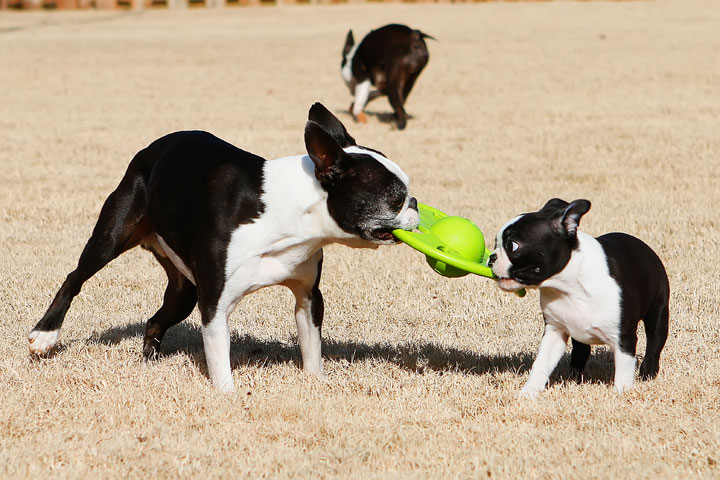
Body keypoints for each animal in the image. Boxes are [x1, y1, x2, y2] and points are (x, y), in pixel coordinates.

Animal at [29, 103, 422, 392]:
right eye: (393, 198)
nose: (416, 203)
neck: (289, 211)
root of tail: (152, 148)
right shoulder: (215, 305)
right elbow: (220, 357)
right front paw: (227, 396)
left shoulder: (308, 295)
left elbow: (311, 345)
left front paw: (316, 382)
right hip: (113, 235)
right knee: (74, 278)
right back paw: (45, 336)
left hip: (184, 291)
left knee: (155, 320)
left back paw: (149, 362)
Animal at [490, 199, 668, 398]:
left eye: (513, 246)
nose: (491, 257)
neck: (568, 287)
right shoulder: (555, 331)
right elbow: (541, 364)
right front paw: (528, 392)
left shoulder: (624, 338)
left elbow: (624, 370)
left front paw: (620, 394)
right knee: (580, 352)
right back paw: (575, 377)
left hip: (659, 312)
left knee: (654, 344)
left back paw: (648, 373)